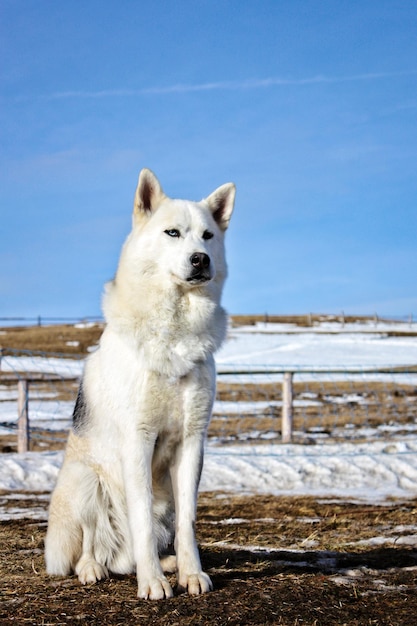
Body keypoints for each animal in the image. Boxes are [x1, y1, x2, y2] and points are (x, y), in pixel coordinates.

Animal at [46, 168, 236, 596]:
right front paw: (151, 584)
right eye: (172, 233)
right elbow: (142, 522)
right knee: (91, 544)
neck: (176, 329)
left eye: (208, 236)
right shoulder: (138, 439)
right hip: (84, 481)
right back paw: (94, 568)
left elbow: (187, 522)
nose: (200, 259)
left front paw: (190, 574)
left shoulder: (192, 443)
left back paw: (164, 563)